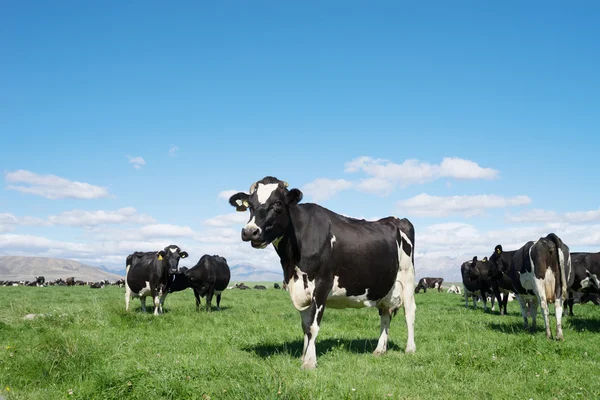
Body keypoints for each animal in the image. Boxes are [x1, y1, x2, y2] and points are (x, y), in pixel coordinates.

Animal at [230, 177, 418, 370]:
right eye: (250, 205)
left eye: (277, 203)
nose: (250, 231)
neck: (293, 260)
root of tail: (396, 219)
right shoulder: (298, 287)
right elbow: (305, 326)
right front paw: (303, 356)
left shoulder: (322, 285)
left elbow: (313, 326)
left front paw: (309, 362)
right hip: (385, 285)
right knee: (385, 313)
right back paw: (380, 349)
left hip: (407, 277)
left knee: (409, 311)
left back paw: (410, 348)